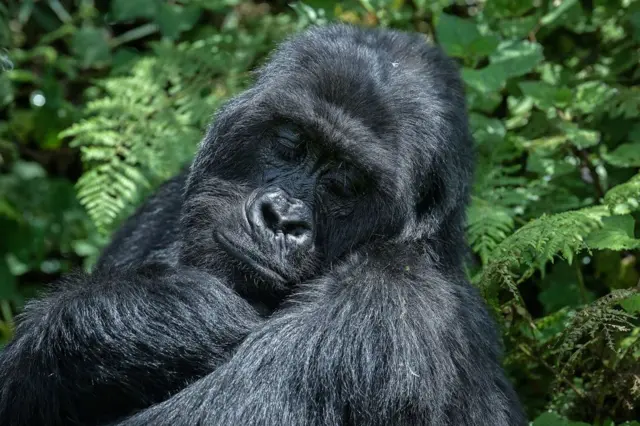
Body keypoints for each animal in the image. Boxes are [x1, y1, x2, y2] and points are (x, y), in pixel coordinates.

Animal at [0, 24, 524, 426]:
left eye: (345, 182)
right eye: (291, 141)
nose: (282, 218)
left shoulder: (384, 309)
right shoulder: (165, 204)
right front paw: (139, 316)